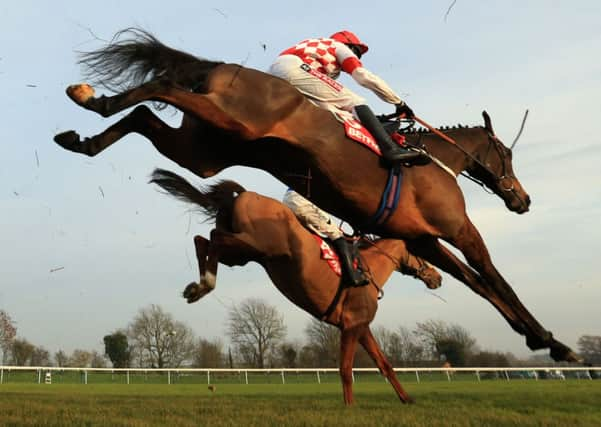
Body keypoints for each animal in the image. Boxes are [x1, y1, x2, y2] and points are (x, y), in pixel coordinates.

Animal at [55, 28, 576, 362]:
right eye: (507, 154)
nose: (522, 200)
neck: (434, 160)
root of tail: (226, 68)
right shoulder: (457, 228)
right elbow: (496, 280)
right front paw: (554, 341)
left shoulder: (423, 239)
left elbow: (478, 285)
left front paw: (539, 340)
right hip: (232, 124)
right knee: (162, 86)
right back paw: (93, 98)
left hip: (205, 150)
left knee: (145, 118)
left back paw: (83, 136)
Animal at [148, 168, 442, 404]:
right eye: (424, 252)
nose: (437, 278)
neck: (370, 270)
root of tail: (244, 194)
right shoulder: (350, 326)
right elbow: (346, 371)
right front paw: (350, 407)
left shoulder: (361, 326)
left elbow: (385, 365)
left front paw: (407, 399)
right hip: (257, 244)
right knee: (213, 237)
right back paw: (204, 285)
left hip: (243, 254)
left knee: (203, 240)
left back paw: (199, 287)